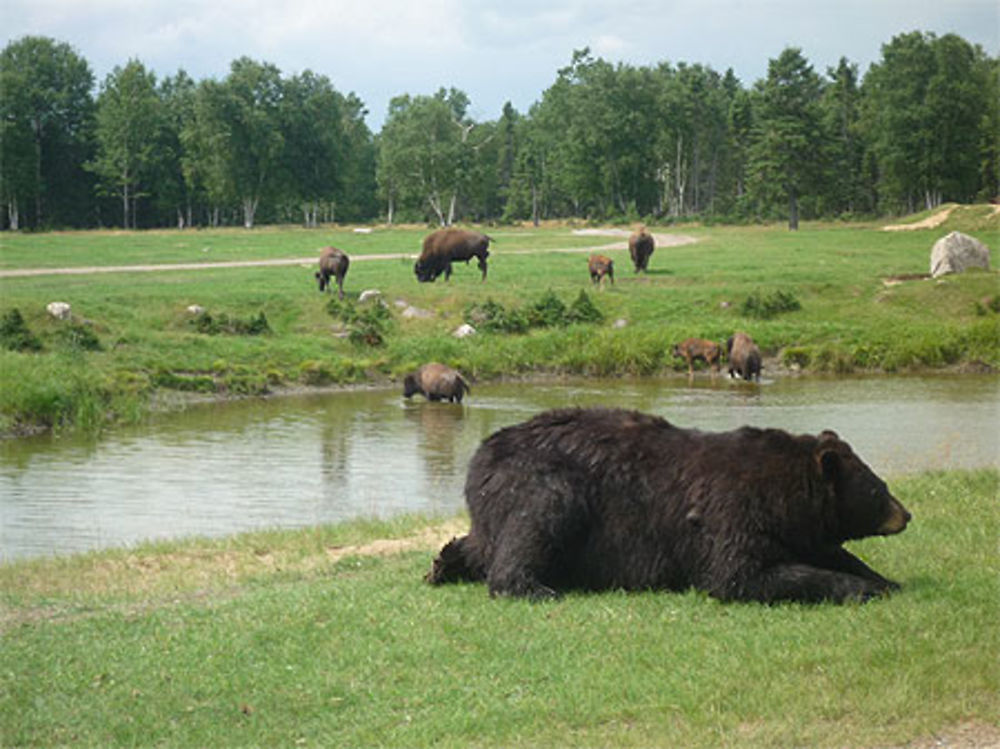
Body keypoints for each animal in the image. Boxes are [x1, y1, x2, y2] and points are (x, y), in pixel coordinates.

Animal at [426, 406, 912, 604]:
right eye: (879, 489)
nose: (905, 514)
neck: (783, 495)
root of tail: (481, 454)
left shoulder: (797, 529)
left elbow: (830, 552)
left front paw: (883, 579)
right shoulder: (728, 512)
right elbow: (738, 576)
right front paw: (860, 589)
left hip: (493, 506)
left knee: (485, 541)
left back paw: (444, 563)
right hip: (541, 481)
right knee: (536, 525)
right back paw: (536, 588)